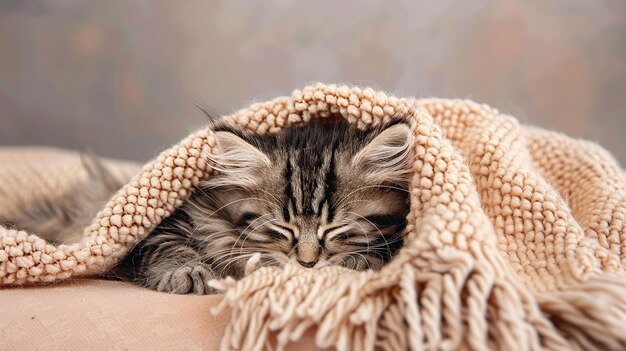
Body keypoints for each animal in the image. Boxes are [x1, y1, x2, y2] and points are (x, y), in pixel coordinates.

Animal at [125, 117, 410, 294]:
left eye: (336, 229)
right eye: (283, 229)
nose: (307, 264)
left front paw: (360, 261)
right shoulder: (182, 214)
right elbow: (166, 242)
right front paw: (185, 270)